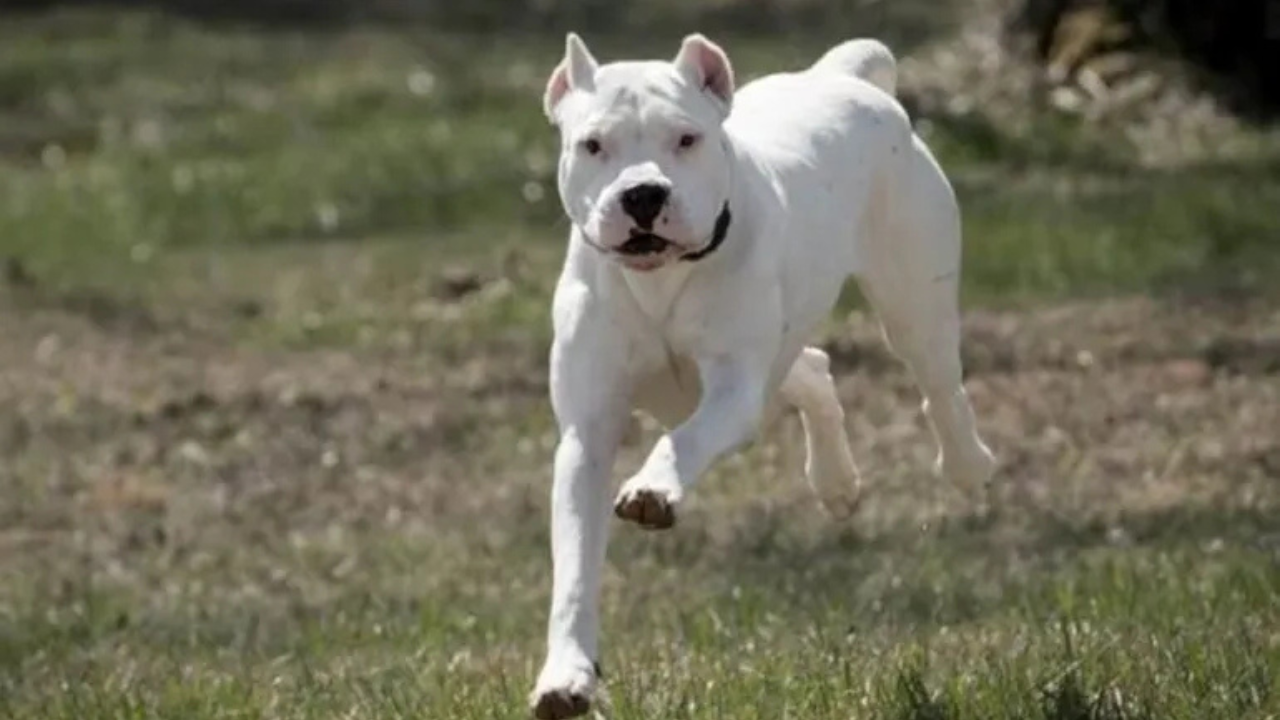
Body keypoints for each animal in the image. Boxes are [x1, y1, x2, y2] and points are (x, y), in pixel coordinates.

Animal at [524, 32, 993, 712]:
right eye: (592, 145)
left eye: (686, 139)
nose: (643, 194)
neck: (661, 279)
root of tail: (843, 76)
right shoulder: (587, 433)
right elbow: (576, 568)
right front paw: (565, 677)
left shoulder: (733, 390)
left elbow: (685, 439)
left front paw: (653, 489)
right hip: (785, 351)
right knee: (815, 369)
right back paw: (836, 481)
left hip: (912, 299)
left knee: (939, 383)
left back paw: (967, 465)